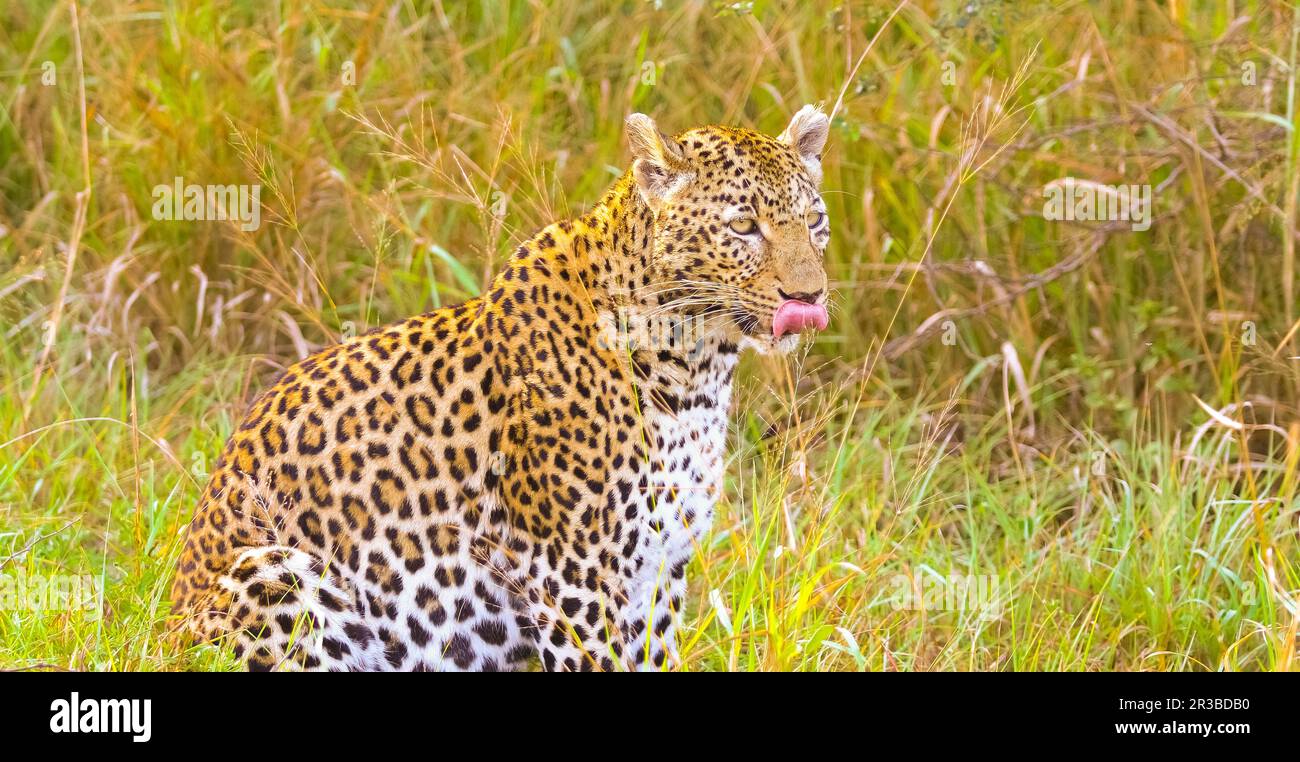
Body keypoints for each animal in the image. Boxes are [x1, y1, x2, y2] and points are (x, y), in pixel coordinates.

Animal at [169, 105, 832, 671]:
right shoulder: (574, 573)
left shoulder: (661, 571)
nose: (810, 296)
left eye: (815, 223)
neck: (695, 368)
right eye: (743, 227)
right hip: (275, 570)